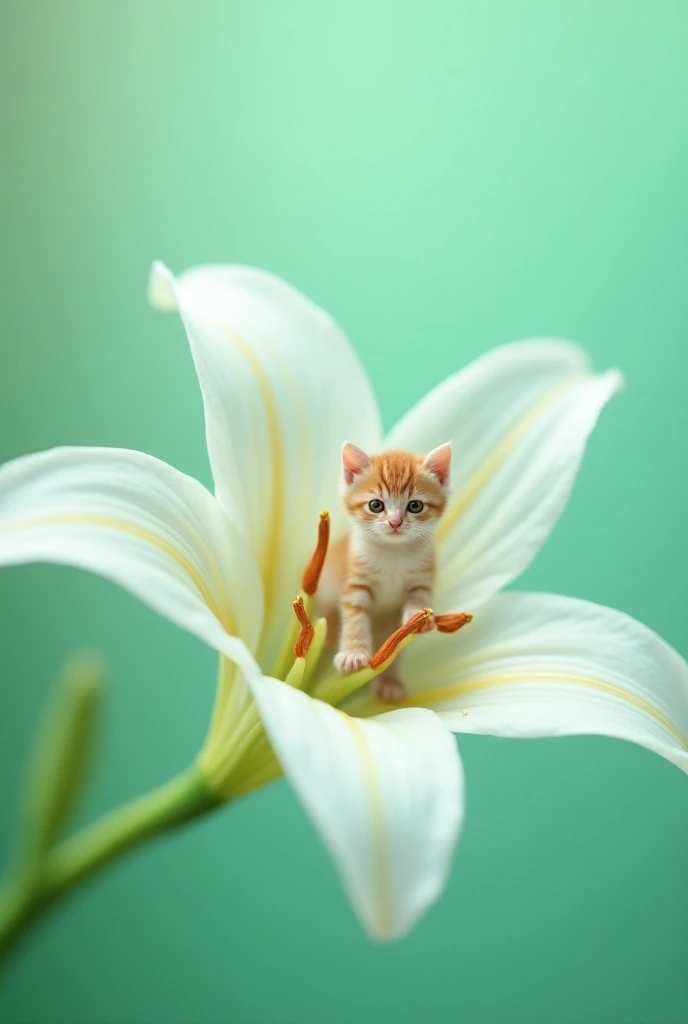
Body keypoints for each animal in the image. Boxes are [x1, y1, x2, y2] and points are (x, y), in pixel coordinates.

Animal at [317, 440, 450, 704]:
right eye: (376, 505)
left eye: (415, 505)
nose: (395, 522)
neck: (393, 553)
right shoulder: (355, 582)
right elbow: (355, 618)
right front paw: (353, 653)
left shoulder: (421, 577)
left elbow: (418, 600)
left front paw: (418, 617)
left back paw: (389, 681)